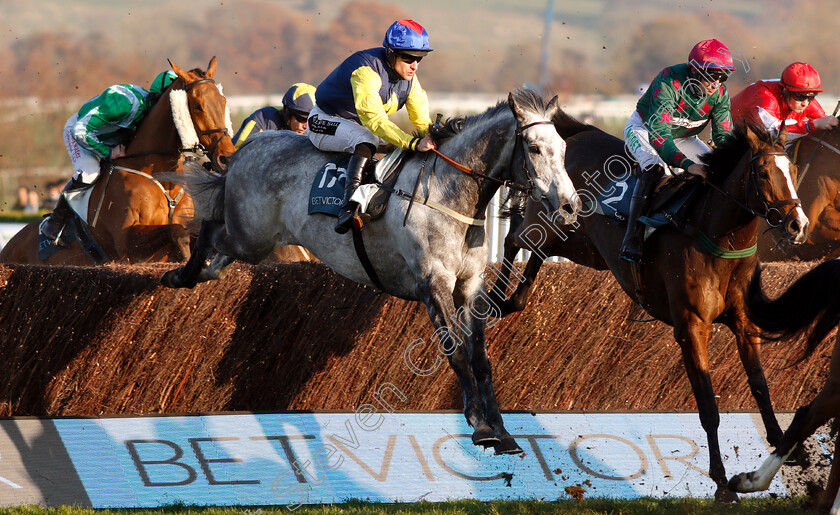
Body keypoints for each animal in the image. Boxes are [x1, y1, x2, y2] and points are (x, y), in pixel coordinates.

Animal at [0, 57, 233, 266]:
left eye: (223, 102)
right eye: (197, 105)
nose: (226, 157)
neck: (161, 177)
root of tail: (9, 247)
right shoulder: (127, 243)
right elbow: (177, 232)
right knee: (85, 172)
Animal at [162, 88, 580, 456]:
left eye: (563, 149)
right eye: (534, 148)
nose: (570, 206)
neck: (448, 194)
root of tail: (250, 145)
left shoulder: (470, 287)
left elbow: (481, 359)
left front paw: (502, 431)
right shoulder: (433, 284)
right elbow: (457, 353)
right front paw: (480, 427)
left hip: (254, 241)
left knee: (219, 250)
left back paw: (203, 274)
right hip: (250, 234)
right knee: (211, 227)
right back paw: (180, 275)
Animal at [488, 114, 812, 504]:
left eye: (792, 169)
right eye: (763, 172)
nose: (798, 225)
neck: (716, 234)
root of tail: (577, 134)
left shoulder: (744, 323)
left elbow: (761, 387)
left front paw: (788, 447)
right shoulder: (691, 327)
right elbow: (709, 408)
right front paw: (721, 483)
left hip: (582, 246)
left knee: (531, 255)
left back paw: (511, 300)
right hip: (553, 223)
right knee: (514, 238)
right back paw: (492, 301)